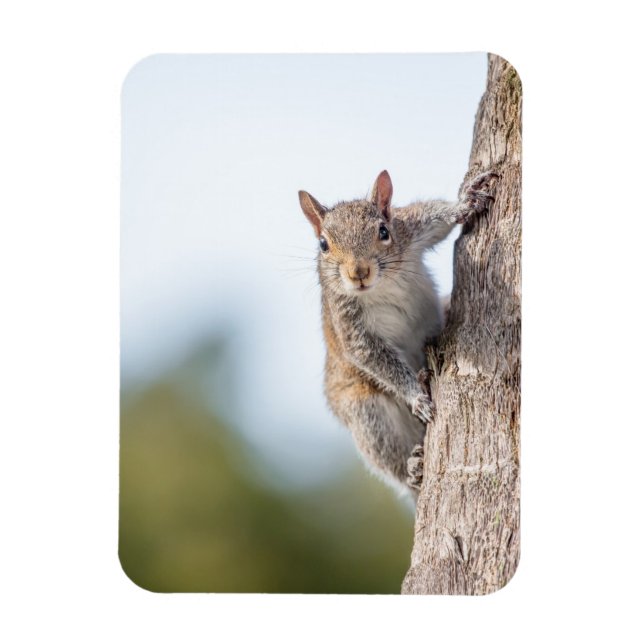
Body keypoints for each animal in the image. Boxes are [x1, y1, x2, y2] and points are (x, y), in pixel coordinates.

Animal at [298, 169, 497, 498]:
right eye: (323, 245)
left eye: (383, 231)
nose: (358, 272)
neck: (382, 284)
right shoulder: (347, 322)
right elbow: (373, 358)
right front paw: (416, 396)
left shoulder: (411, 230)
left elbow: (439, 218)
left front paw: (465, 201)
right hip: (367, 416)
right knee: (393, 464)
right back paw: (414, 470)